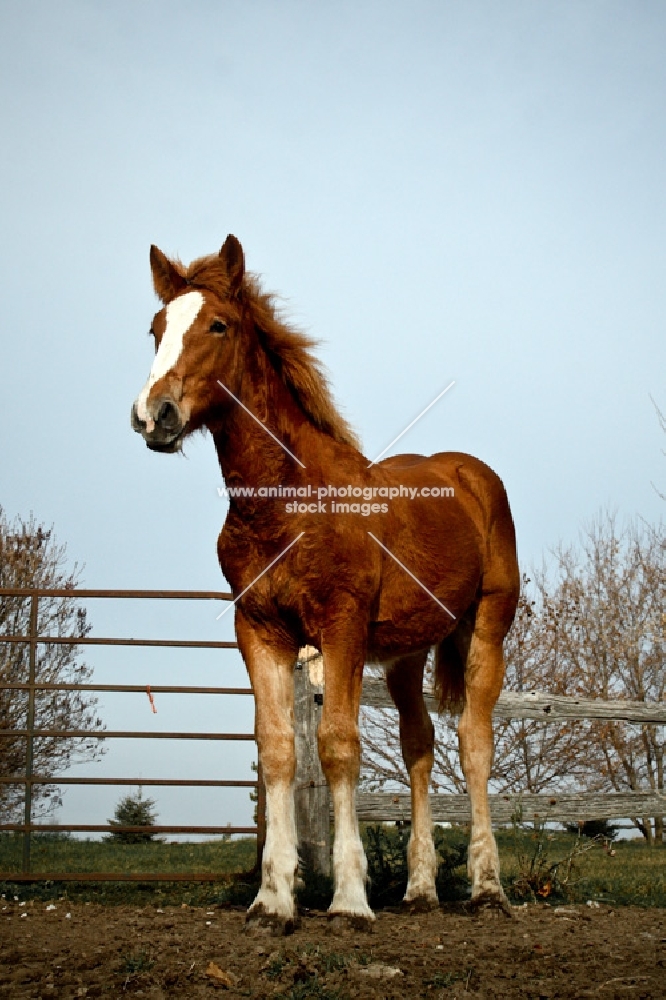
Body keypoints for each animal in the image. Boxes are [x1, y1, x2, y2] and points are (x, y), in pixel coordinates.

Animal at [131, 232, 520, 928]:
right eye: (155, 328)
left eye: (218, 325)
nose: (156, 415)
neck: (289, 501)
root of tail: (471, 475)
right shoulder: (260, 629)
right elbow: (278, 749)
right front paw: (272, 899)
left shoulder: (340, 626)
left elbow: (338, 744)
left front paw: (349, 899)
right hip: (404, 653)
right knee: (420, 745)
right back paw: (420, 890)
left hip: (487, 629)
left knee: (474, 743)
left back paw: (486, 888)